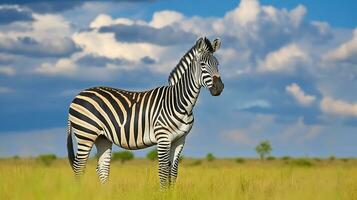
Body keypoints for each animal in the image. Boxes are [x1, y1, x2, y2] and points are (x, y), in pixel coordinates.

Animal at [66, 36, 222, 188]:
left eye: (218, 64)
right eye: (202, 64)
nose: (219, 88)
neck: (180, 103)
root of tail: (77, 96)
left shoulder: (180, 140)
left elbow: (173, 172)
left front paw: (171, 193)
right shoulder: (163, 137)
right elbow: (163, 171)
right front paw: (163, 193)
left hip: (102, 137)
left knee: (102, 168)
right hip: (86, 133)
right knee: (79, 166)